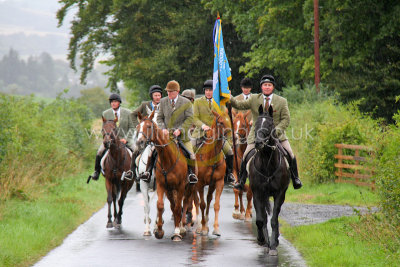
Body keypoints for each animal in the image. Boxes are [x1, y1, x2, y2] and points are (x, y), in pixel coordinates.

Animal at [135, 110, 193, 242]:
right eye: (137, 127)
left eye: (149, 126)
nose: (139, 142)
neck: (168, 159)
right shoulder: (159, 185)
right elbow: (158, 206)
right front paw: (158, 231)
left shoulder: (180, 186)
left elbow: (178, 208)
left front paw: (176, 233)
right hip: (169, 190)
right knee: (172, 205)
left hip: (187, 188)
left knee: (184, 203)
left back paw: (182, 227)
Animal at [248, 104, 290, 255]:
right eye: (256, 123)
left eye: (270, 124)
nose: (258, 143)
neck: (267, 163)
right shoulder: (257, 193)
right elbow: (261, 220)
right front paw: (262, 241)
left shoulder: (280, 194)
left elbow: (274, 219)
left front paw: (273, 244)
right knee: (263, 218)